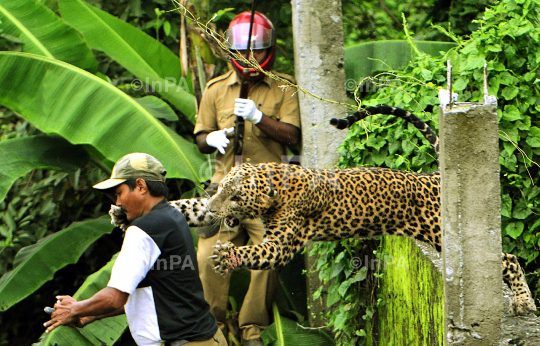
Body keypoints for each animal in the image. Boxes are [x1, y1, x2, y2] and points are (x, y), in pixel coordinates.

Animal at [109, 105, 536, 316]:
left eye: (236, 196)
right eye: (222, 191)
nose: (219, 211)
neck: (274, 184)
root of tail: (434, 177)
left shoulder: (282, 243)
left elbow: (258, 251)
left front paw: (227, 255)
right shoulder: (208, 207)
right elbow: (188, 207)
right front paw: (121, 214)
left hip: (440, 230)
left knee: (508, 258)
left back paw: (523, 301)